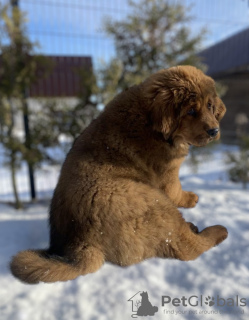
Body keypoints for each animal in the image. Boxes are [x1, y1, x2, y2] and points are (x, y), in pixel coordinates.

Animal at [9, 64, 228, 282]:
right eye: (191, 110)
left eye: (210, 106)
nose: (214, 131)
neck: (151, 120)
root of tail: (80, 242)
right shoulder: (168, 173)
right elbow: (176, 189)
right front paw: (189, 198)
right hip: (151, 201)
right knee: (187, 246)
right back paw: (218, 231)